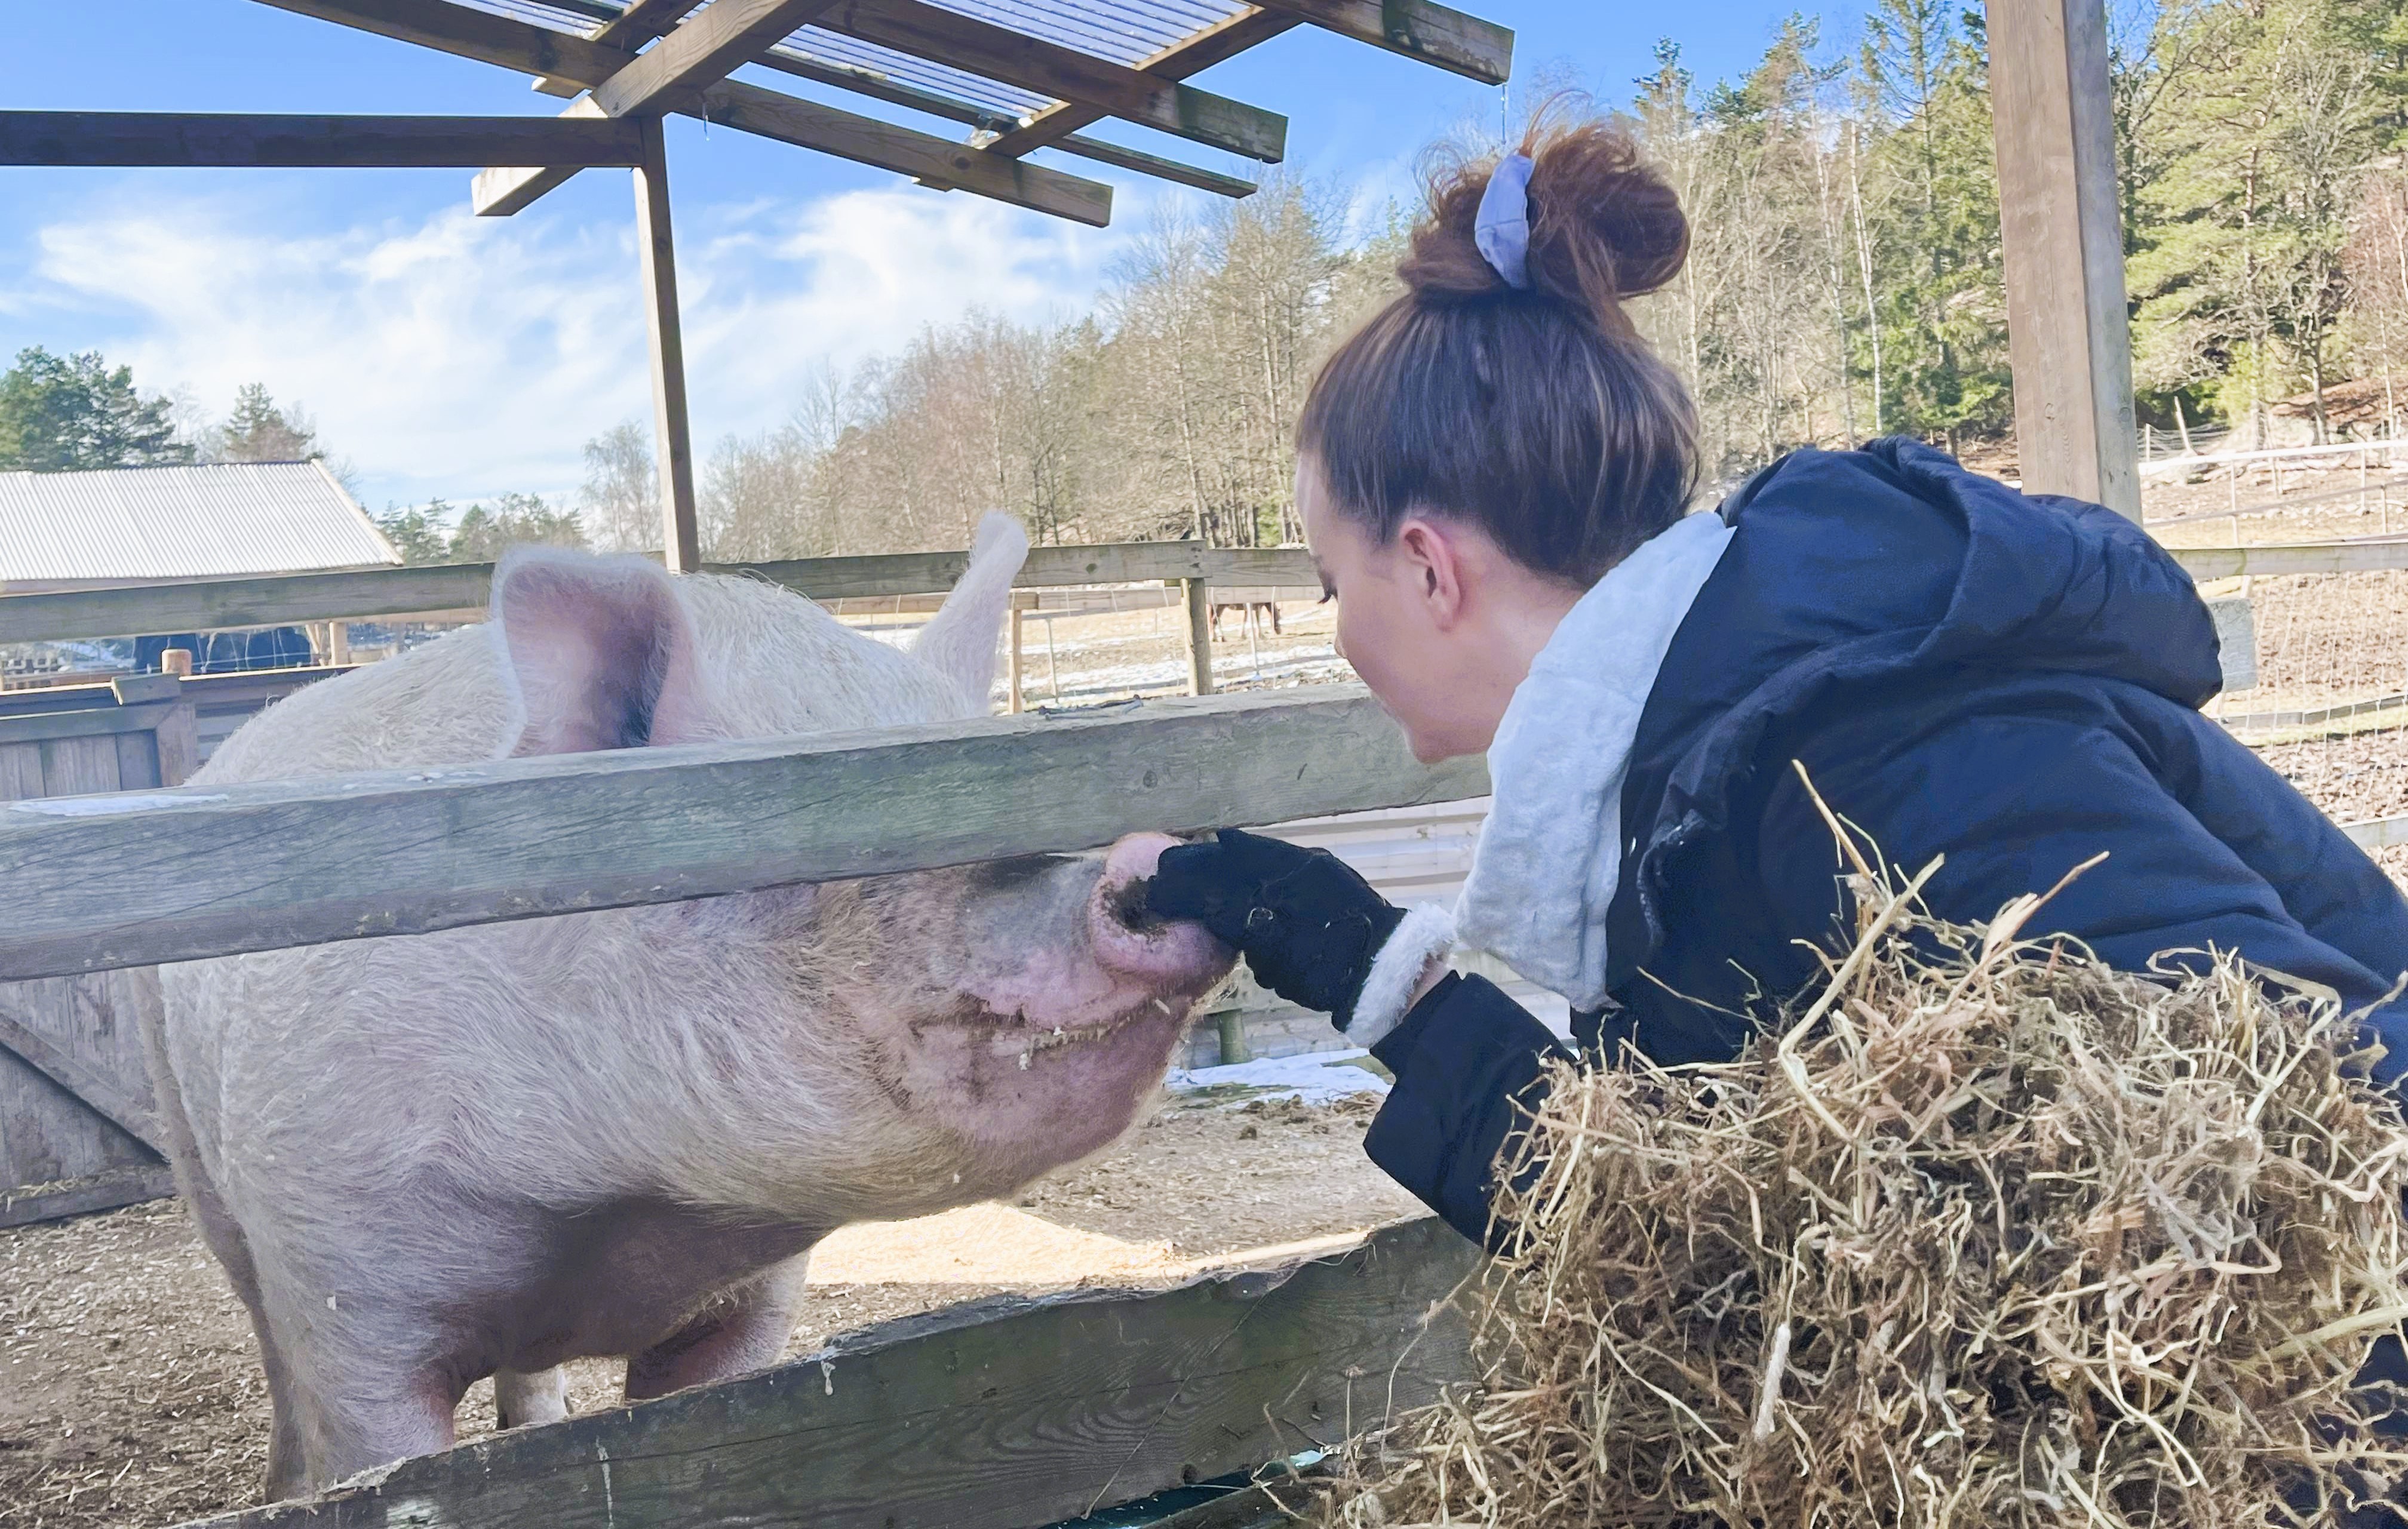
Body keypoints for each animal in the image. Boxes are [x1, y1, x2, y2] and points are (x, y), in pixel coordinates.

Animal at [134, 518, 1233, 1512]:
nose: (1152, 859)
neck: (616, 1221)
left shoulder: (751, 1301)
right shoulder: (343, 1274)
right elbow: (380, 1449)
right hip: (195, 1149)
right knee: (265, 1331)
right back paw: (279, 1486)